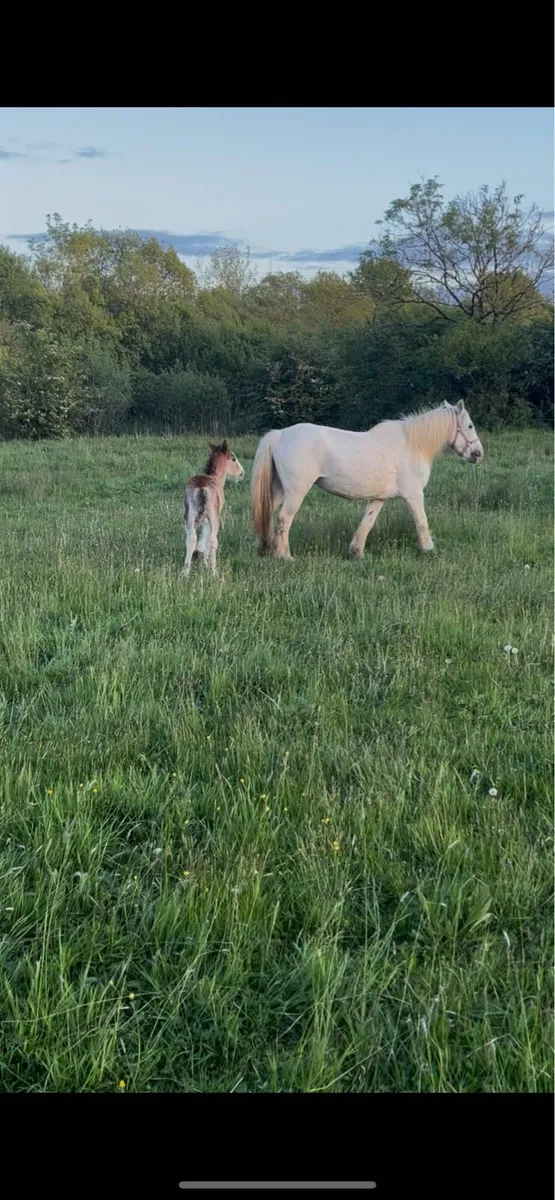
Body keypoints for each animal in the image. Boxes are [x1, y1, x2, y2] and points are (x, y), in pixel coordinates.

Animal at [183, 440, 245, 575]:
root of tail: (201, 488)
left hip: (189, 515)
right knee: (212, 540)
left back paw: (185, 572)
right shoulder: (212, 516)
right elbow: (206, 538)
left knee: (191, 539)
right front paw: (205, 562)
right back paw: (213, 571)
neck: (215, 477)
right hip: (213, 516)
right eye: (233, 458)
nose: (242, 474)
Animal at [251, 400, 484, 560]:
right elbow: (421, 522)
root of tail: (280, 435)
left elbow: (367, 522)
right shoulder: (414, 495)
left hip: (279, 490)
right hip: (296, 492)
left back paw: (268, 548)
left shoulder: (379, 498)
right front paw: (429, 549)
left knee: (270, 515)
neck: (413, 444)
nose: (478, 454)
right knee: (284, 518)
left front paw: (357, 552)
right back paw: (285, 556)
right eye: (470, 426)